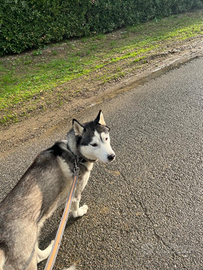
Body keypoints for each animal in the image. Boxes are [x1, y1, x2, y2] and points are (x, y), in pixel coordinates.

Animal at [0, 110, 115, 270]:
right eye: (94, 144)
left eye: (106, 138)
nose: (111, 156)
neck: (74, 154)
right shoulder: (76, 192)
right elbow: (75, 210)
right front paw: (80, 212)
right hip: (26, 254)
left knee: (37, 255)